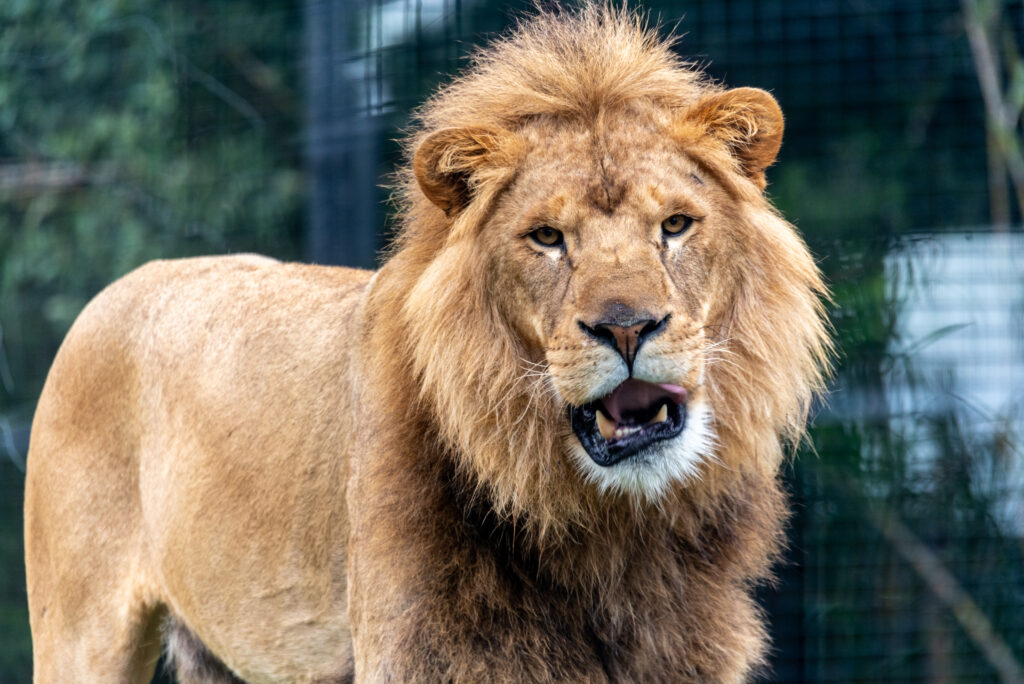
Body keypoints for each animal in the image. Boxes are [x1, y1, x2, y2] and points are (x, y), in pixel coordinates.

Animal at [24, 6, 831, 683]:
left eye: (675, 225)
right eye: (547, 238)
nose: (627, 325)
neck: (609, 531)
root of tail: (123, 286)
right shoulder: (422, 647)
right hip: (80, 634)